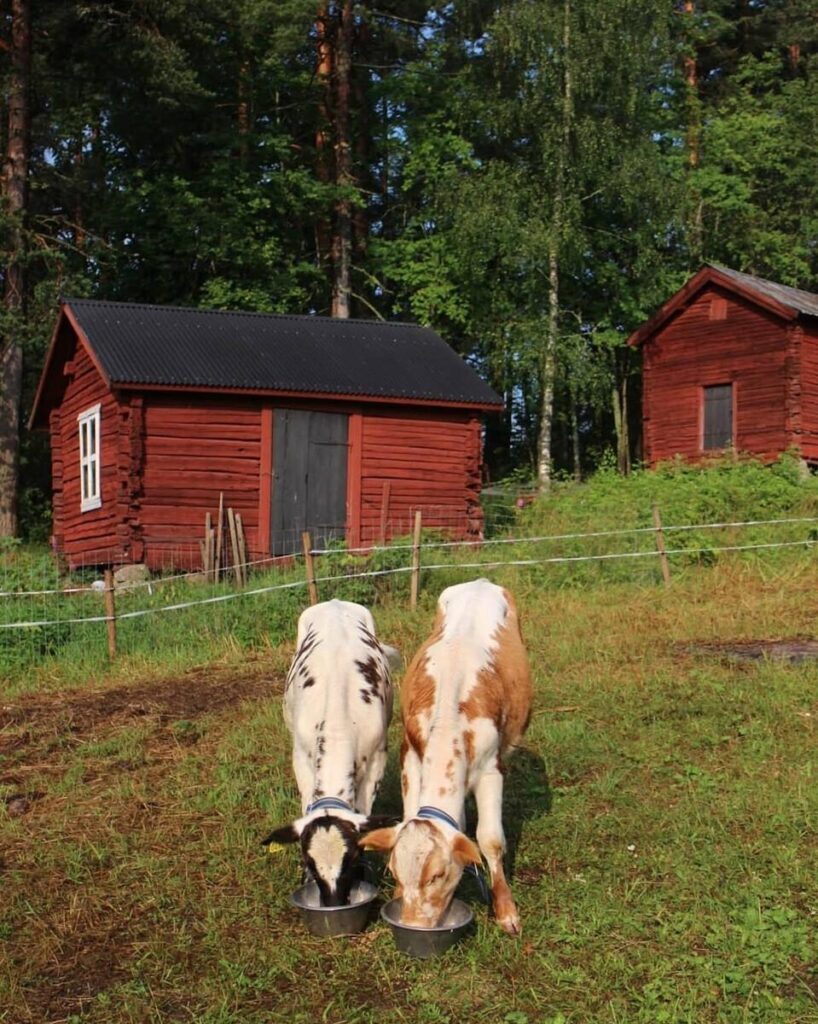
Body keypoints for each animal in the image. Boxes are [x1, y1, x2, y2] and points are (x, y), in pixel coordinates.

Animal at [262, 598, 399, 905]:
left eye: (350, 860)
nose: (334, 903)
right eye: (310, 863)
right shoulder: (301, 757)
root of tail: (335, 602)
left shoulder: (377, 759)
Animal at [362, 581, 532, 933]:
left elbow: (491, 840)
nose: (413, 923)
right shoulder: (411, 756)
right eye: (395, 872)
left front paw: (506, 909)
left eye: (437, 875)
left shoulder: (492, 769)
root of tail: (481, 582)